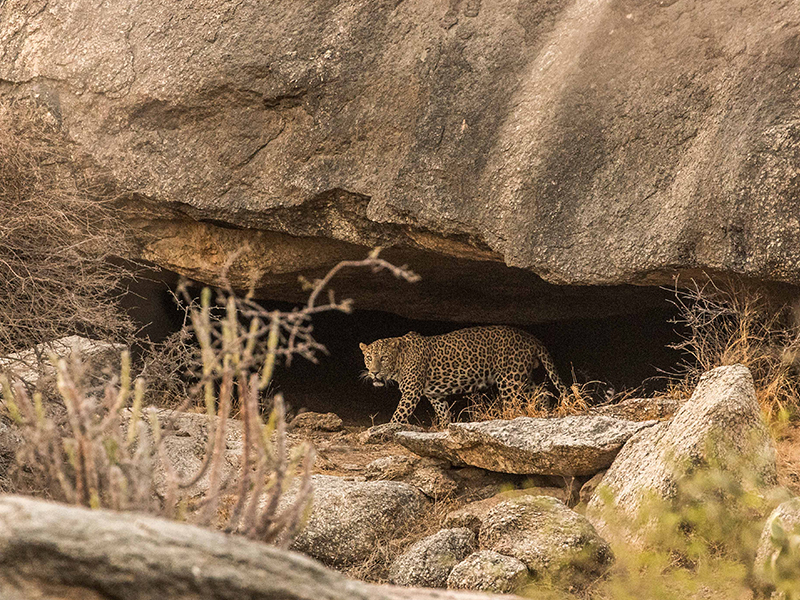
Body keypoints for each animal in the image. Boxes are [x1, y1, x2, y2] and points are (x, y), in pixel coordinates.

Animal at [360, 324, 564, 426]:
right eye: (369, 358)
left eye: (384, 358)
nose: (374, 372)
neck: (399, 361)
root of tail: (531, 338)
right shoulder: (434, 394)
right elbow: (443, 413)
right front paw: (444, 429)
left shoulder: (412, 392)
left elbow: (398, 415)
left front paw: (386, 429)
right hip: (521, 377)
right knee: (541, 391)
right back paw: (544, 412)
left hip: (509, 380)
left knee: (513, 405)